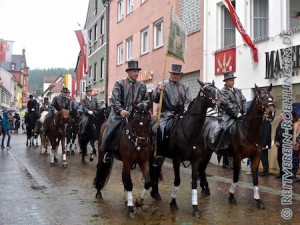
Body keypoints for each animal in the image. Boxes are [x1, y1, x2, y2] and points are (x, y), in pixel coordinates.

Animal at [151, 80, 224, 217]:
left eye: (217, 89)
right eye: (208, 91)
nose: (223, 102)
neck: (191, 130)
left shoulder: (196, 160)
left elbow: (194, 181)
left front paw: (195, 207)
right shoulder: (176, 160)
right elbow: (177, 180)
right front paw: (173, 203)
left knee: (156, 171)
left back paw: (155, 193)